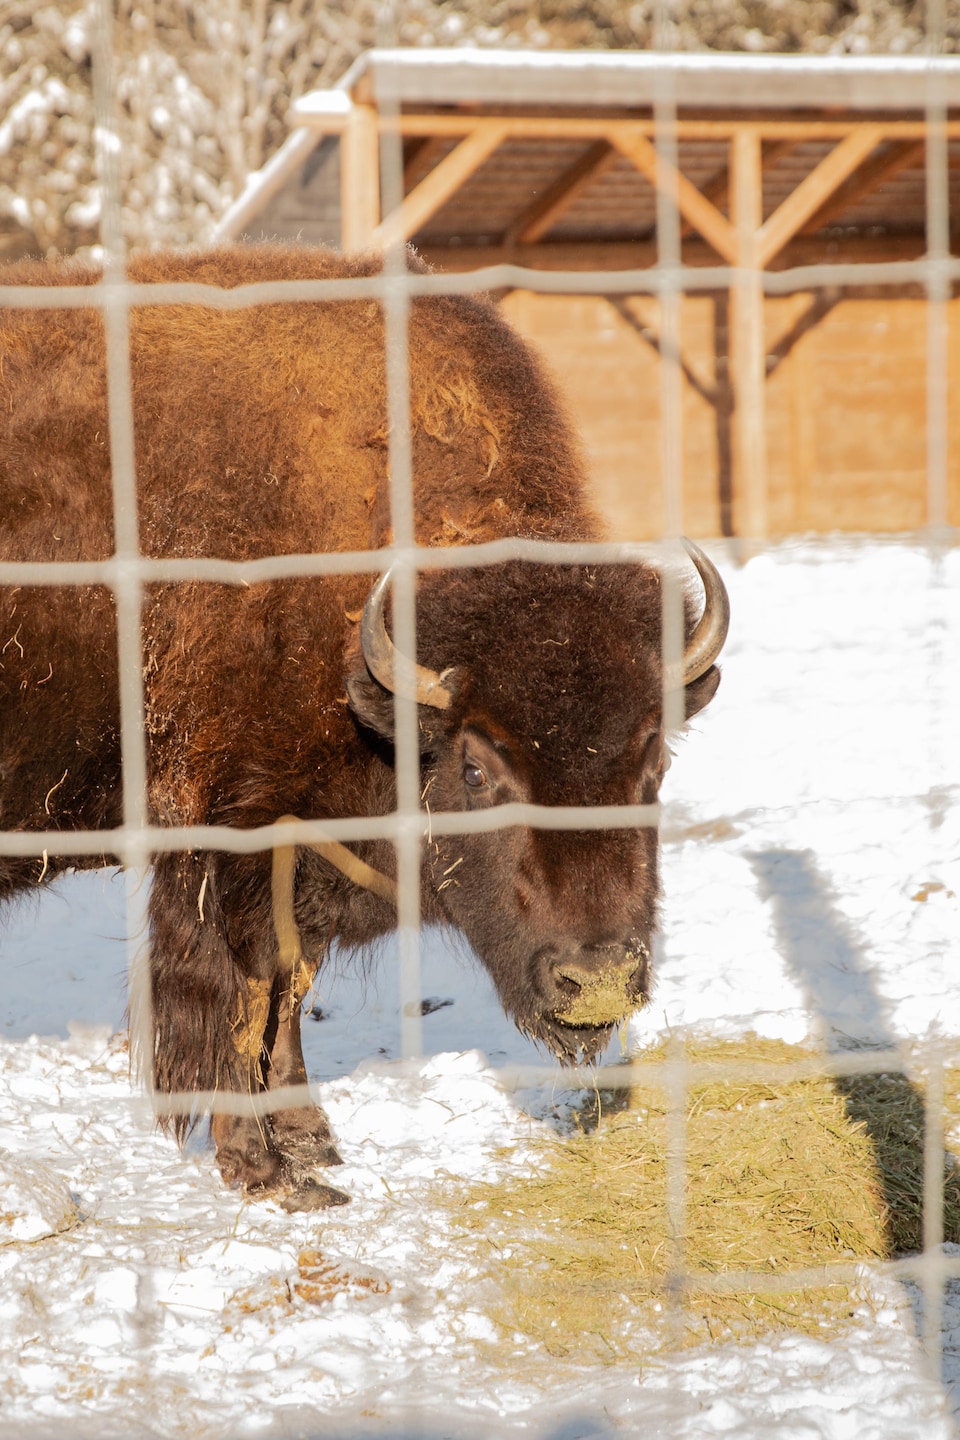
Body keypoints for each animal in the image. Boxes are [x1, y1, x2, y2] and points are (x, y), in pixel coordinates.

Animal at [0, 246, 728, 1204]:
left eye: (655, 762)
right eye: (476, 769)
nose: (597, 982)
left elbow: (289, 994)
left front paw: (312, 1146)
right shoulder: (237, 844)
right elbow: (248, 993)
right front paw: (267, 1171)